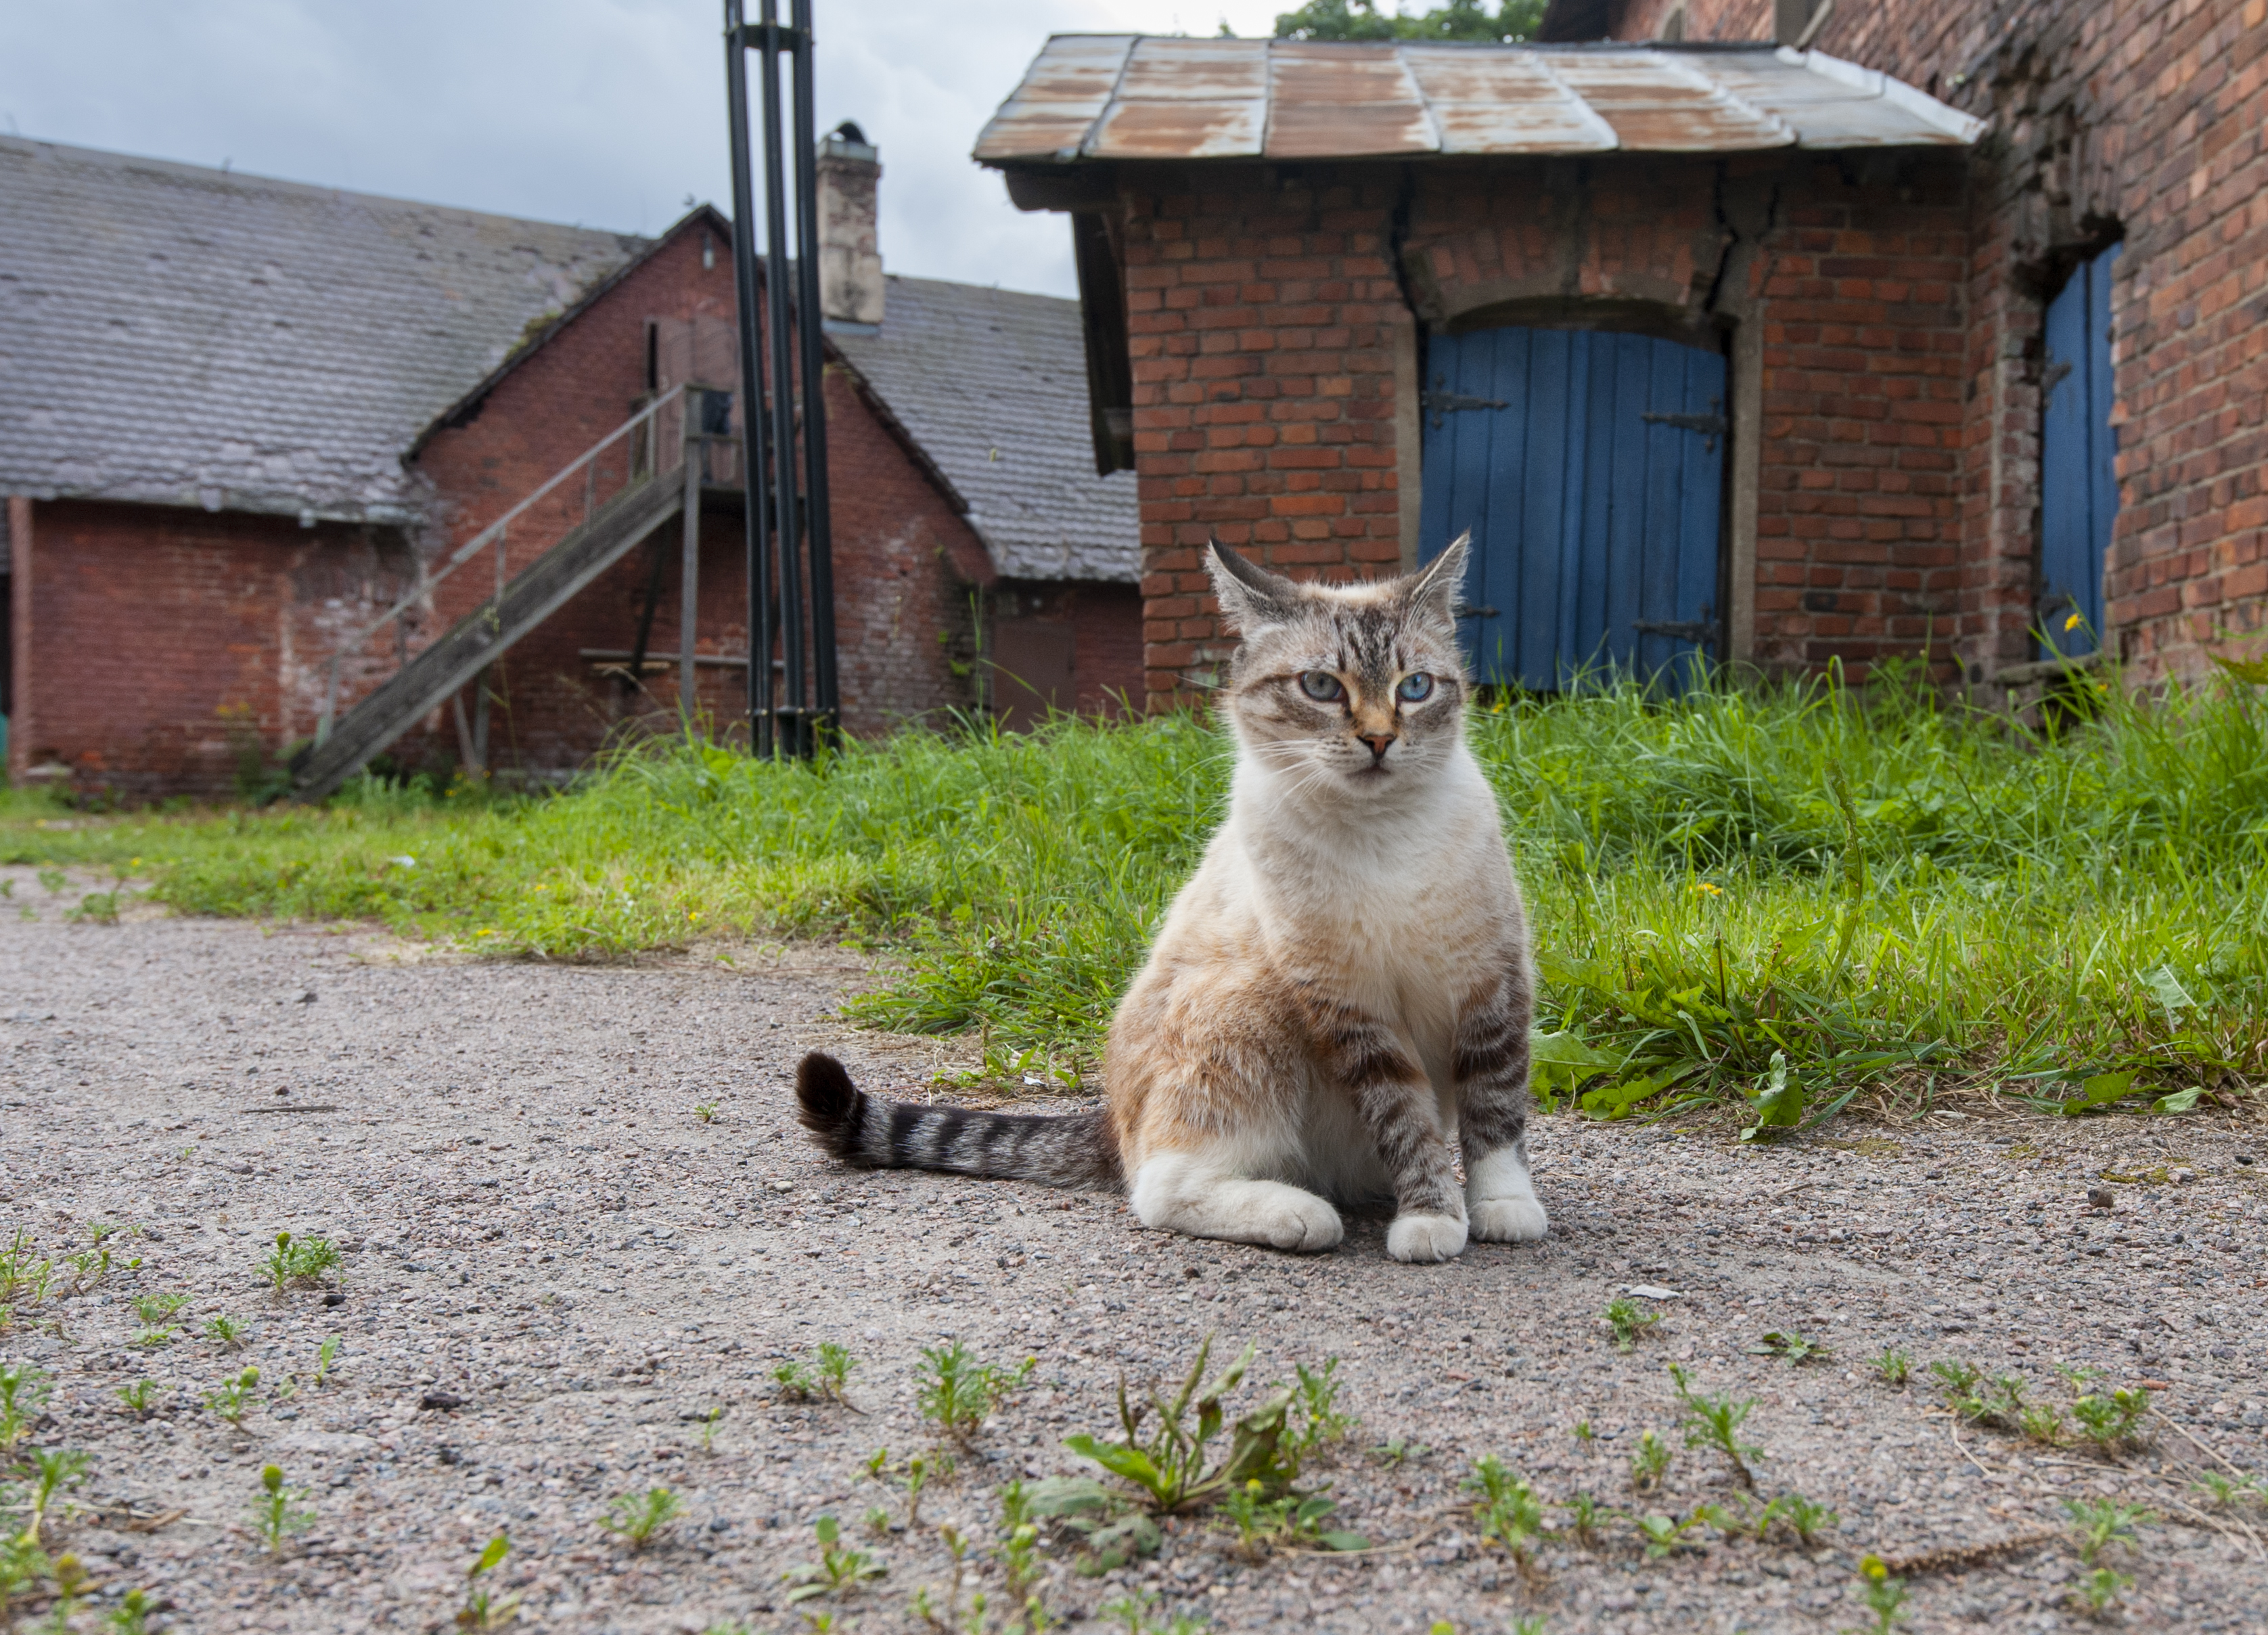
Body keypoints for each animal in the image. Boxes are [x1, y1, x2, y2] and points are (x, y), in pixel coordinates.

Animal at [789, 535, 1551, 1261]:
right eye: (1320, 686)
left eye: (1415, 687)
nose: (1379, 739)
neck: (1379, 840)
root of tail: (1108, 1121)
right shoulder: (1350, 1010)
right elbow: (1406, 1124)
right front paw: (1431, 1219)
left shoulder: (1489, 985)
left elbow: (1495, 1114)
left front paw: (1500, 1208)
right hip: (1246, 1002)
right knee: (1158, 1186)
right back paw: (1300, 1213)